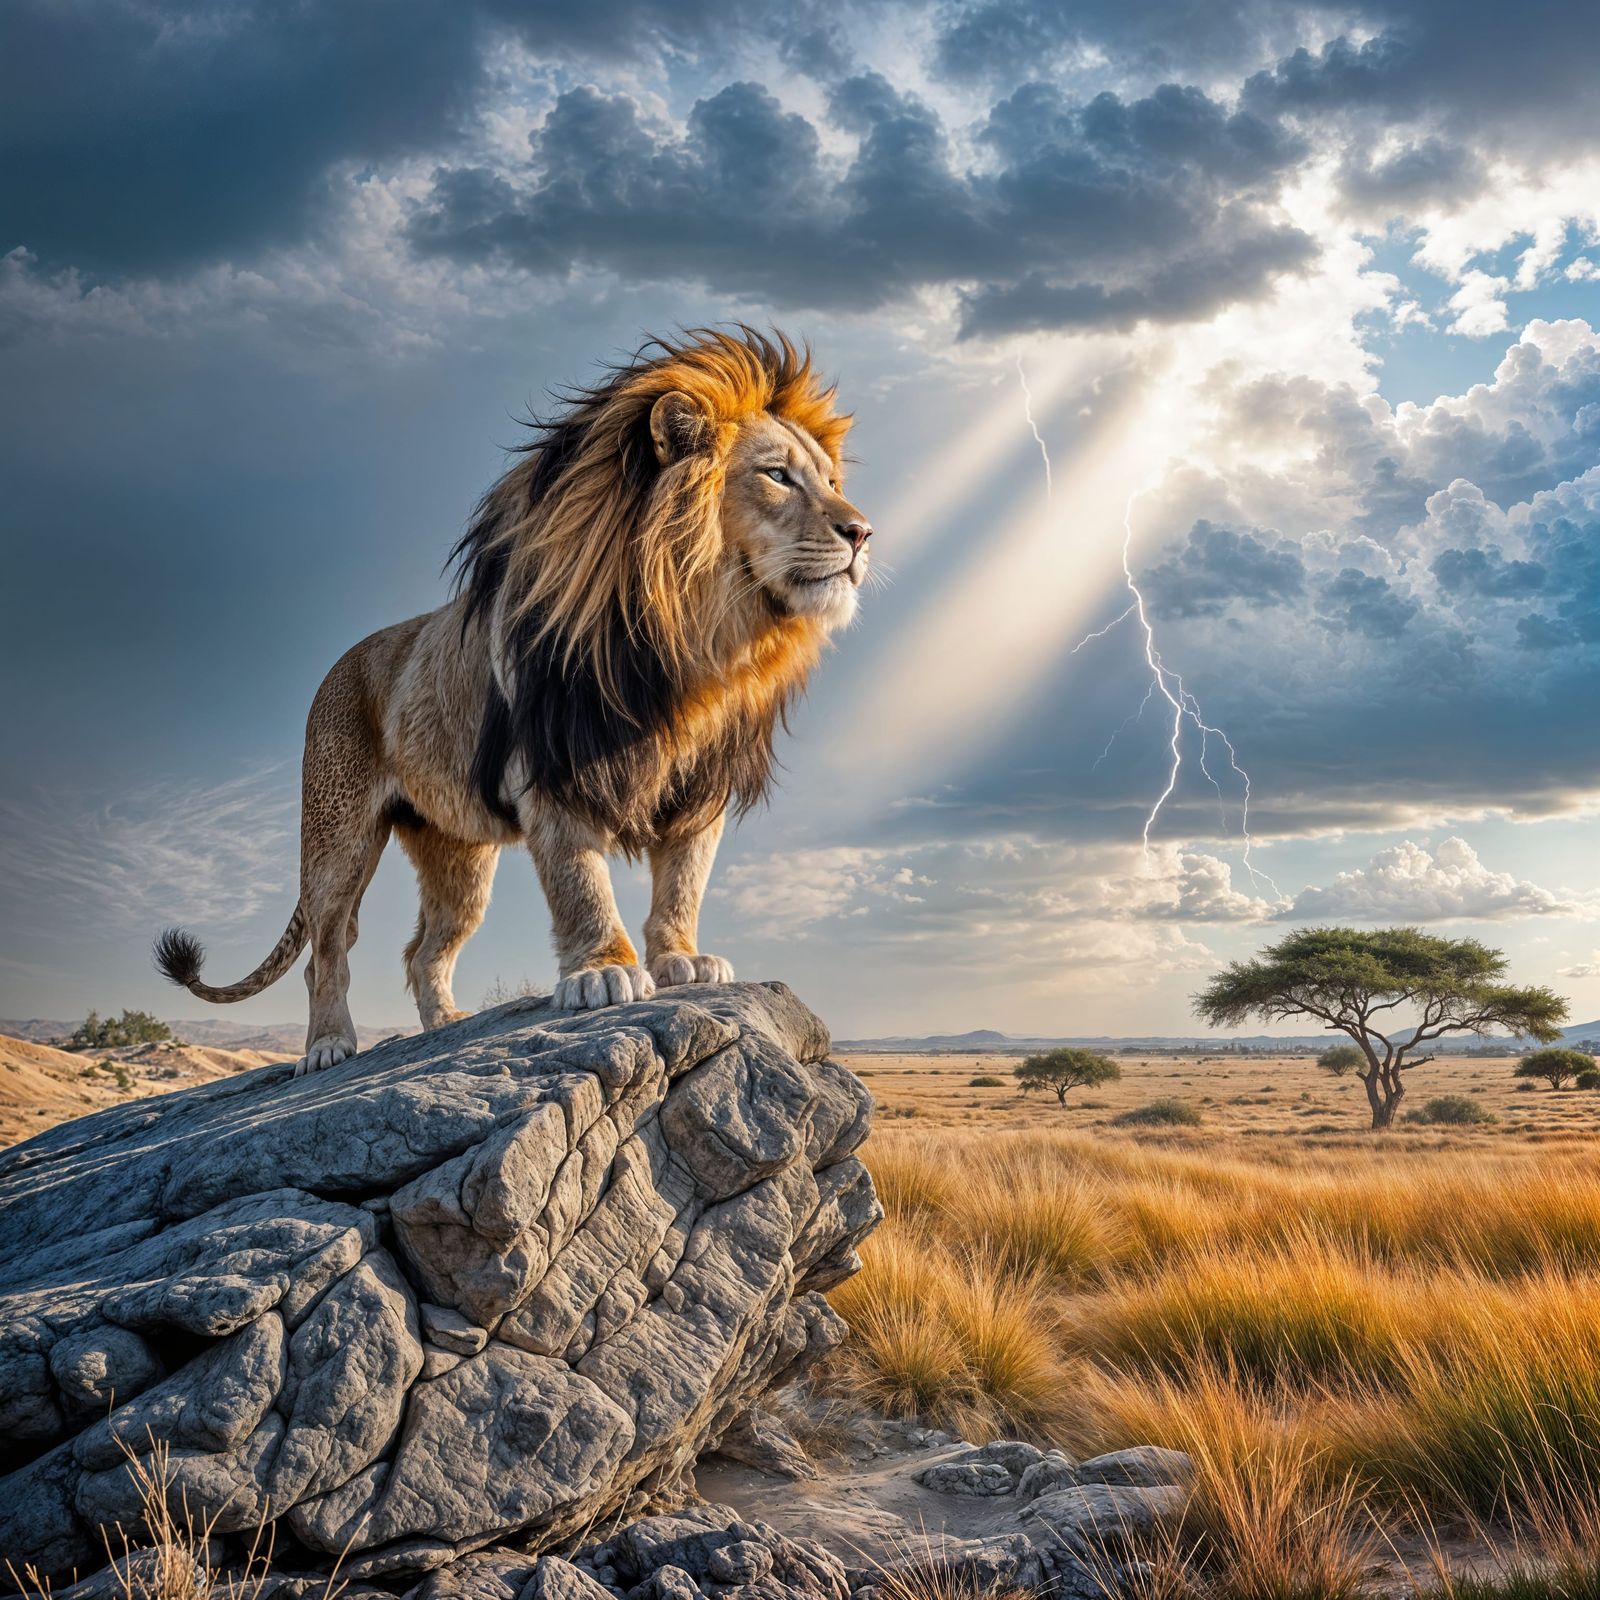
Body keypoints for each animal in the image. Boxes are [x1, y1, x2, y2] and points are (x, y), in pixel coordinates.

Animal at [155, 327, 872, 1075]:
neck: (694, 638)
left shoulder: (701, 785)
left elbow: (682, 882)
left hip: (459, 857)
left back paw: (446, 1023)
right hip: (336, 839)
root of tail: (337, 666)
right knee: (327, 949)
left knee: (423, 951)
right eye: (777, 475)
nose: (863, 532)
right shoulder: (554, 771)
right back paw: (328, 1045)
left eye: (830, 482)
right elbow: (581, 881)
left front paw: (682, 960)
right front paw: (603, 971)